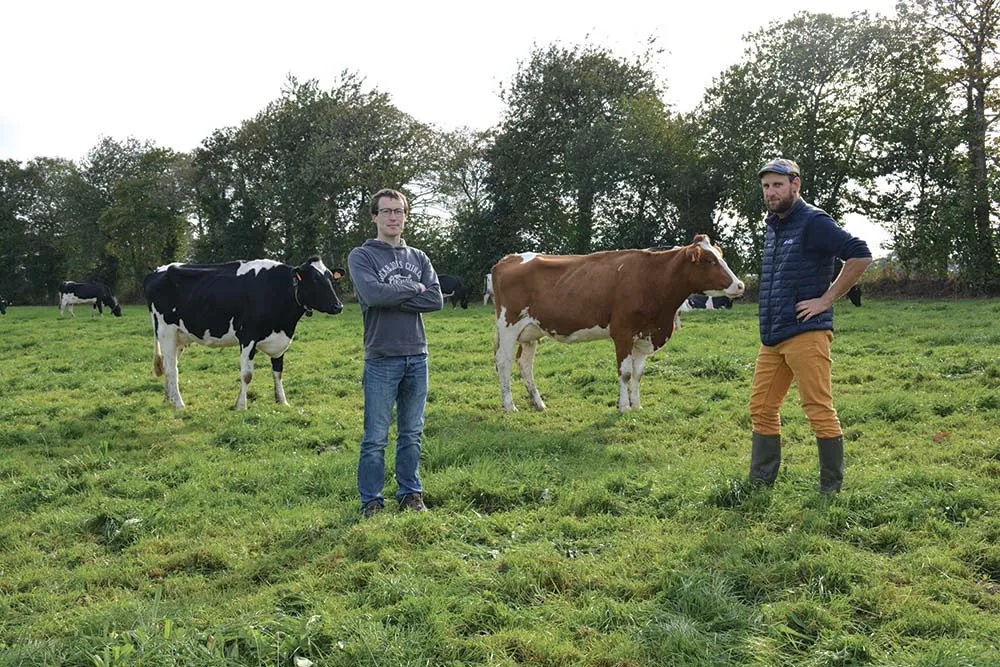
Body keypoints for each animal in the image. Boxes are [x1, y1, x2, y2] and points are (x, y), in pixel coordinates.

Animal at [143, 255, 344, 409]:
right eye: (315, 279)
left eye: (330, 278)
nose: (338, 306)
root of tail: (157, 270)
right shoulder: (248, 337)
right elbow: (247, 375)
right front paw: (241, 405)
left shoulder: (280, 341)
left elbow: (278, 372)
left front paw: (282, 401)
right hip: (165, 332)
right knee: (172, 369)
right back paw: (179, 404)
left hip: (179, 336)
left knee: (170, 365)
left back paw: (168, 399)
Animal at [492, 234, 745, 412]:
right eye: (709, 261)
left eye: (720, 257)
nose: (740, 285)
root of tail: (507, 258)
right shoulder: (622, 332)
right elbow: (624, 373)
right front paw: (624, 407)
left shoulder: (644, 336)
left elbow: (638, 374)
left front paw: (637, 405)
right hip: (508, 325)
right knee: (504, 362)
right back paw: (509, 405)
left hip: (531, 331)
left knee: (525, 364)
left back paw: (538, 403)